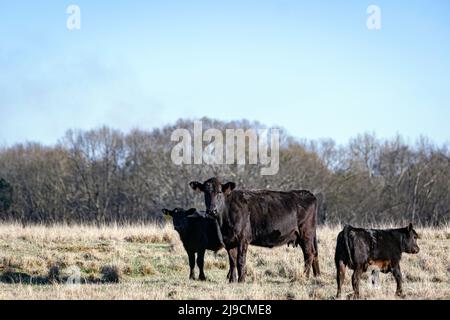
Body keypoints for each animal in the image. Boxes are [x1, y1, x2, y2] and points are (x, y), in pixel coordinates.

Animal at [189, 176, 320, 284]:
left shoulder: (243, 239)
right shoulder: (229, 241)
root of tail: (307, 193)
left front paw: (241, 280)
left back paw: (304, 277)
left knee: (309, 254)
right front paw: (232, 280)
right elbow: (232, 260)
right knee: (312, 254)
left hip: (306, 233)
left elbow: (241, 260)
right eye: (205, 192)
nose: (212, 210)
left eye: (219, 192)